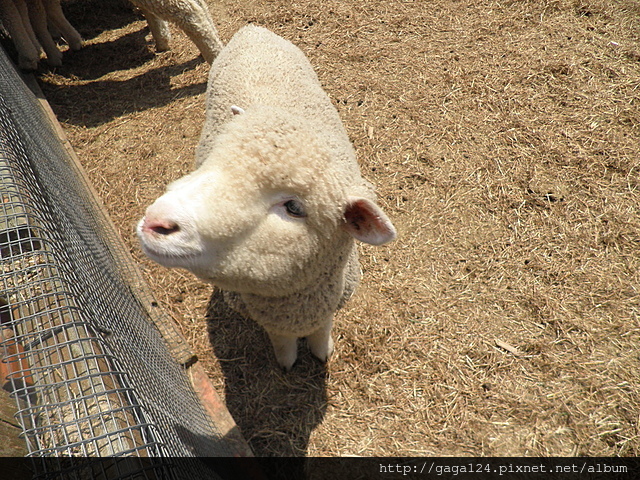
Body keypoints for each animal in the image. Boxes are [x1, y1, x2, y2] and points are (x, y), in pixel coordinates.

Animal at [137, 25, 397, 370]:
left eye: (294, 207)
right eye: (213, 161)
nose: (156, 222)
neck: (293, 305)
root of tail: (251, 28)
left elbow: (322, 332)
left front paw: (322, 351)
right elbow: (282, 344)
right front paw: (286, 362)